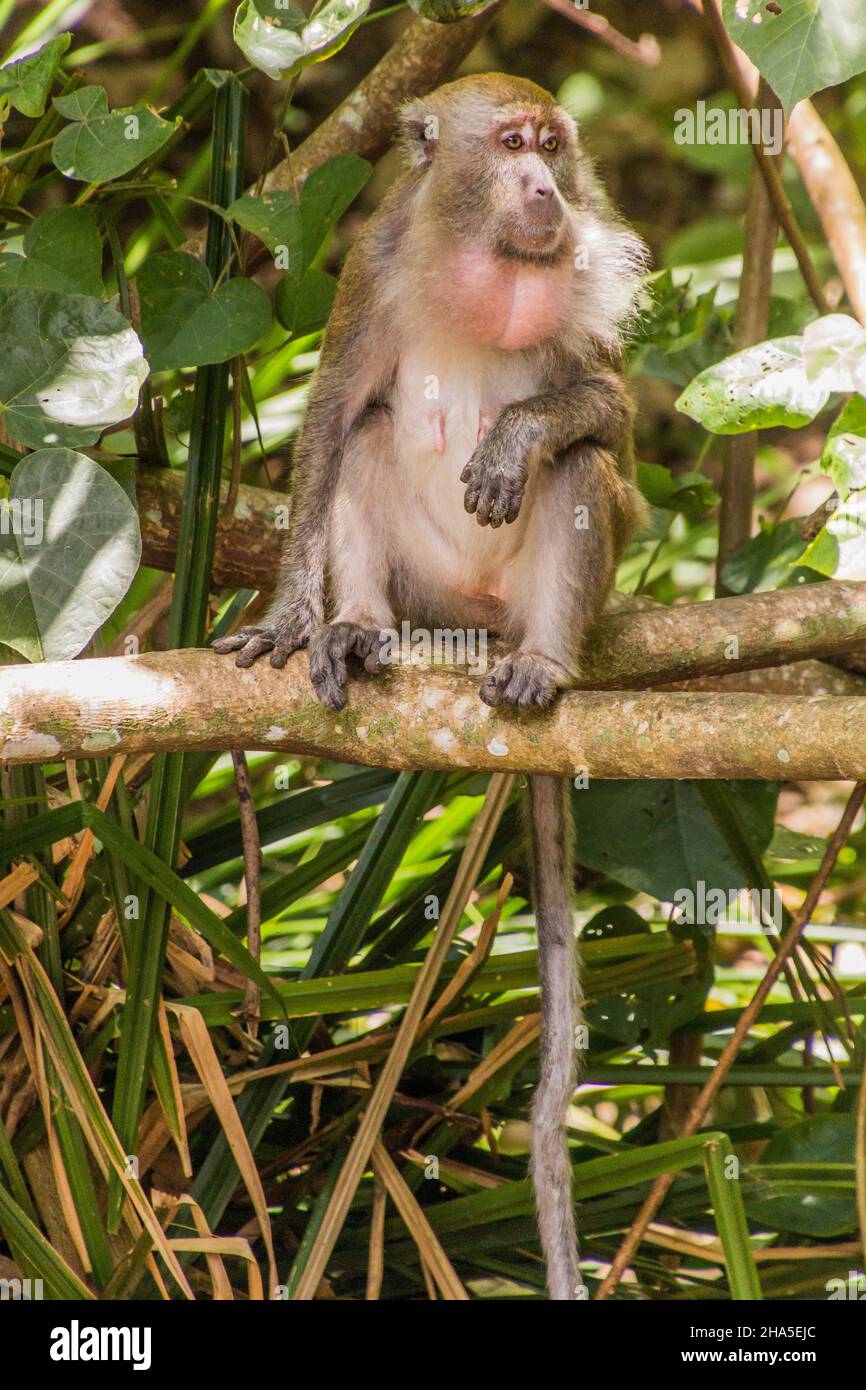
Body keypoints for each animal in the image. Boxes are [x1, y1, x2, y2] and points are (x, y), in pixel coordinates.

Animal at [215, 73, 648, 1300]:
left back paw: (541, 661)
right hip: (426, 591)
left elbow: (606, 416)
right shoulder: (369, 268)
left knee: (581, 470)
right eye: (507, 146)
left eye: (552, 145)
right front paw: (290, 615)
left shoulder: (595, 275)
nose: (546, 186)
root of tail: (476, 623)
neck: (480, 257)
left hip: (531, 599)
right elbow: (327, 425)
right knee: (365, 442)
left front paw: (517, 436)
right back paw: (357, 633)